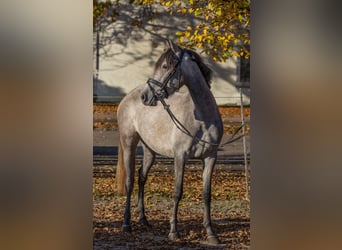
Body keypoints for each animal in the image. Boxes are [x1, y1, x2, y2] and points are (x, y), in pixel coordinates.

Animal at [115, 40, 222, 244]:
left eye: (165, 66)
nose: (145, 97)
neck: (202, 118)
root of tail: (129, 96)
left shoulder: (210, 157)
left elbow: (207, 194)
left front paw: (211, 233)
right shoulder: (180, 157)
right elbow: (177, 192)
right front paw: (174, 231)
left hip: (149, 150)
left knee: (141, 177)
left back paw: (144, 220)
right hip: (128, 143)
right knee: (130, 182)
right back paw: (126, 224)